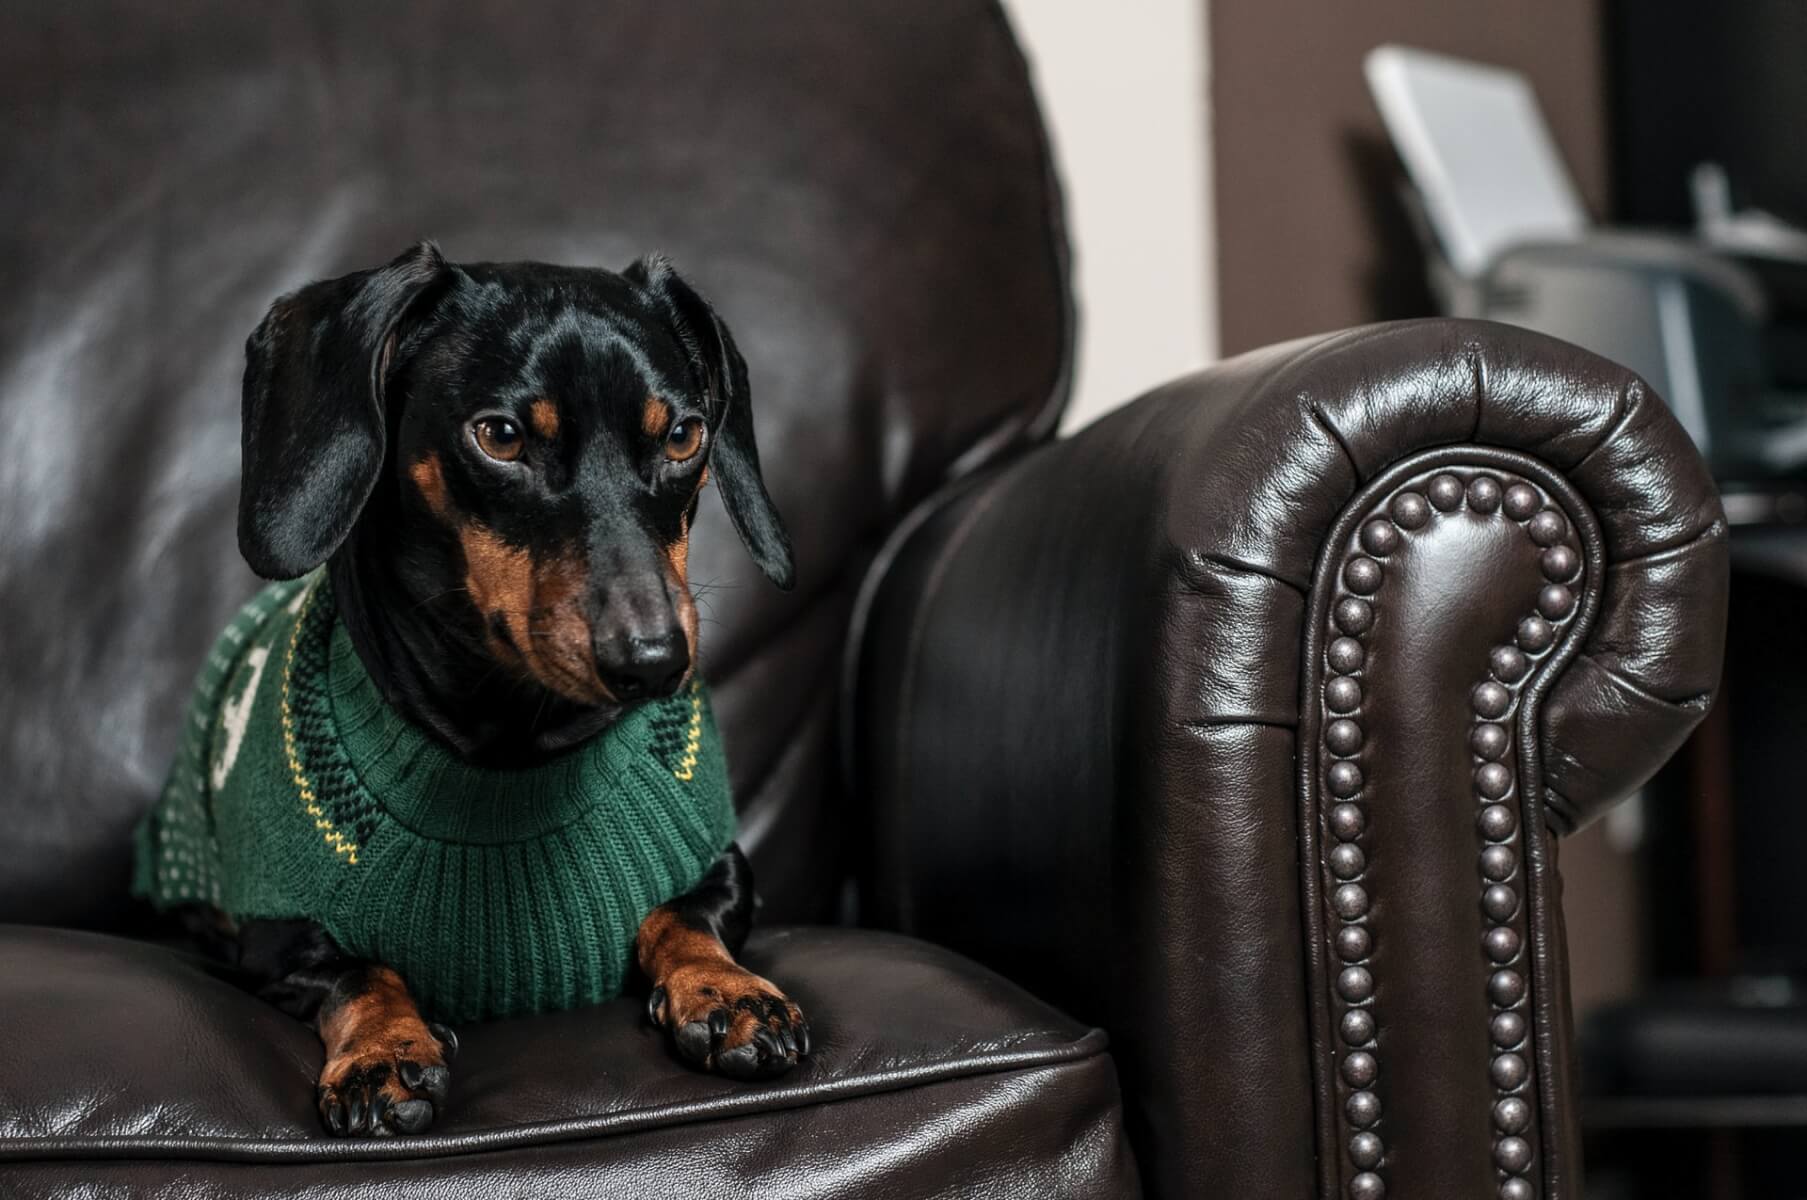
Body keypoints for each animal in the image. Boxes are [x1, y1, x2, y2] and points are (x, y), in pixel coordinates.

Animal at [159, 242, 809, 1134]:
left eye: (683, 435)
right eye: (500, 437)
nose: (653, 661)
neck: (512, 747)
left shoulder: (722, 865)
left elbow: (680, 914)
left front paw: (729, 991)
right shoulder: (273, 939)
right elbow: (362, 971)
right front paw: (384, 1051)